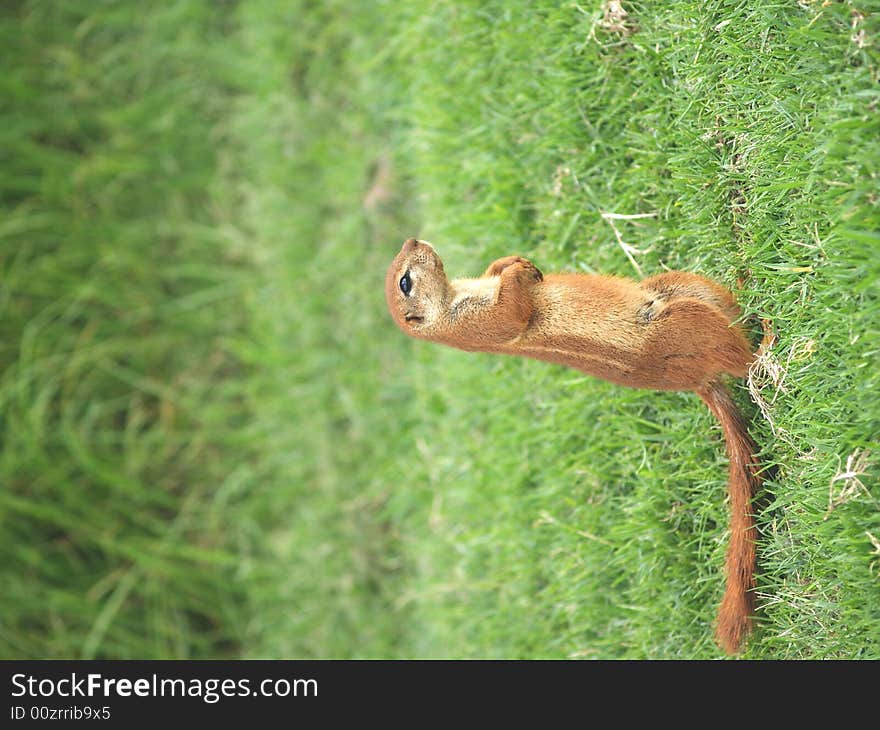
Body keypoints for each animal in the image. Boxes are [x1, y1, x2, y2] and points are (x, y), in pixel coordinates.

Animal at [384, 239, 764, 656]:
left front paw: (512, 262)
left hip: (678, 286)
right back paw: (767, 341)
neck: (458, 295)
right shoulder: (481, 324)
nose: (413, 241)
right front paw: (517, 273)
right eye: (405, 281)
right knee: (742, 362)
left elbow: (499, 274)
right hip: (683, 322)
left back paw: (746, 286)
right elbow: (511, 312)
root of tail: (700, 383)